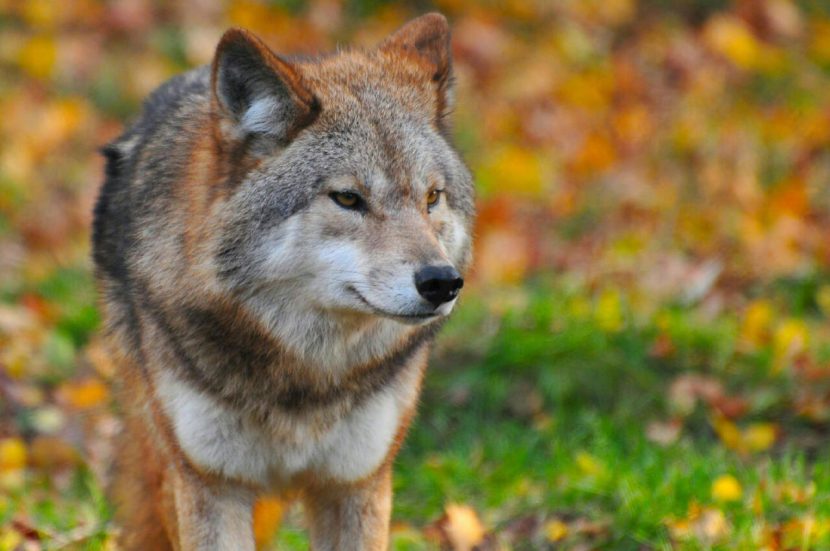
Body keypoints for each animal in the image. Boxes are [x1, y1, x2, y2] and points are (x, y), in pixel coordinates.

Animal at [91, 12, 474, 551]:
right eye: (348, 199)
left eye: (432, 197)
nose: (442, 282)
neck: (305, 376)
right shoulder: (210, 485)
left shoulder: (357, 483)